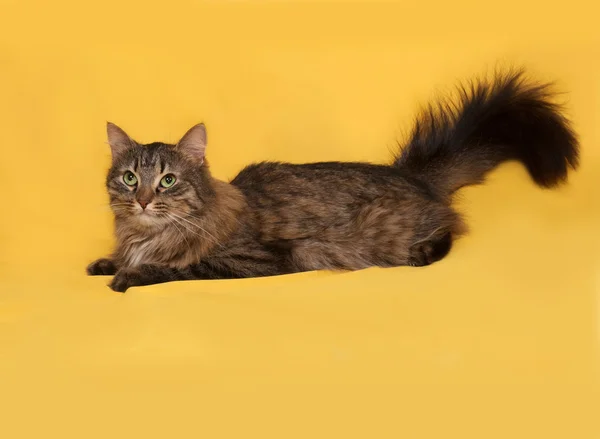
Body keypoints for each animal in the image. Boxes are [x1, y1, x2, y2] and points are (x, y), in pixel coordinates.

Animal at [86, 69, 580, 292]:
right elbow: (121, 257)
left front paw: (127, 275)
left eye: (168, 181)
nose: (144, 200)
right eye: (130, 178)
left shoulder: (250, 261)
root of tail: (408, 173)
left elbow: (175, 268)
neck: (147, 234)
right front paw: (106, 263)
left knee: (450, 228)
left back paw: (423, 254)